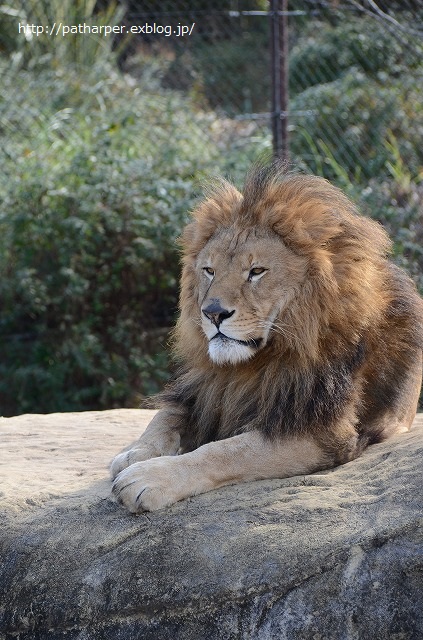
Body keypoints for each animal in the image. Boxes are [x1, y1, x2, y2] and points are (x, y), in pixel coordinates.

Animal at [112, 162, 423, 512]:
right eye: (209, 271)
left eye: (256, 271)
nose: (213, 313)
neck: (252, 365)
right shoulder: (205, 391)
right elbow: (163, 418)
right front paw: (134, 453)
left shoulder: (319, 432)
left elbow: (226, 450)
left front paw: (149, 477)